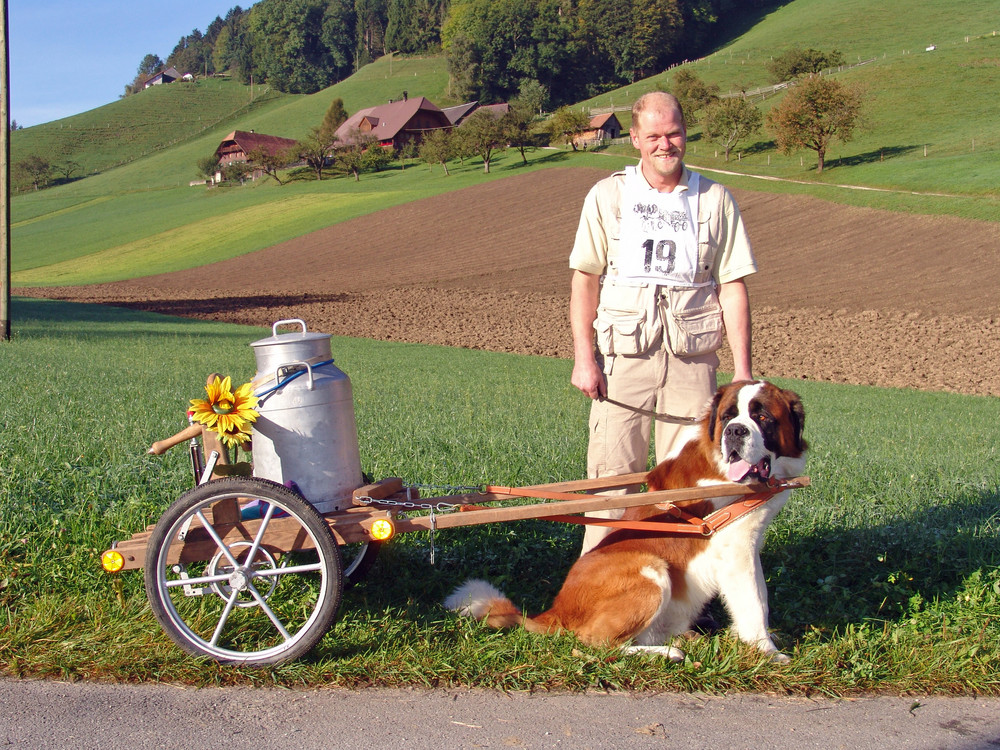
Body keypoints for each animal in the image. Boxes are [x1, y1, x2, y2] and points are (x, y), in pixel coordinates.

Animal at [444, 382, 804, 664]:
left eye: (762, 417)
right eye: (729, 416)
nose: (734, 431)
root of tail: (556, 611)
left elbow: (758, 596)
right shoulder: (736, 549)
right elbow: (755, 601)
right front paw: (768, 653)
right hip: (649, 569)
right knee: (593, 642)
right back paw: (668, 653)